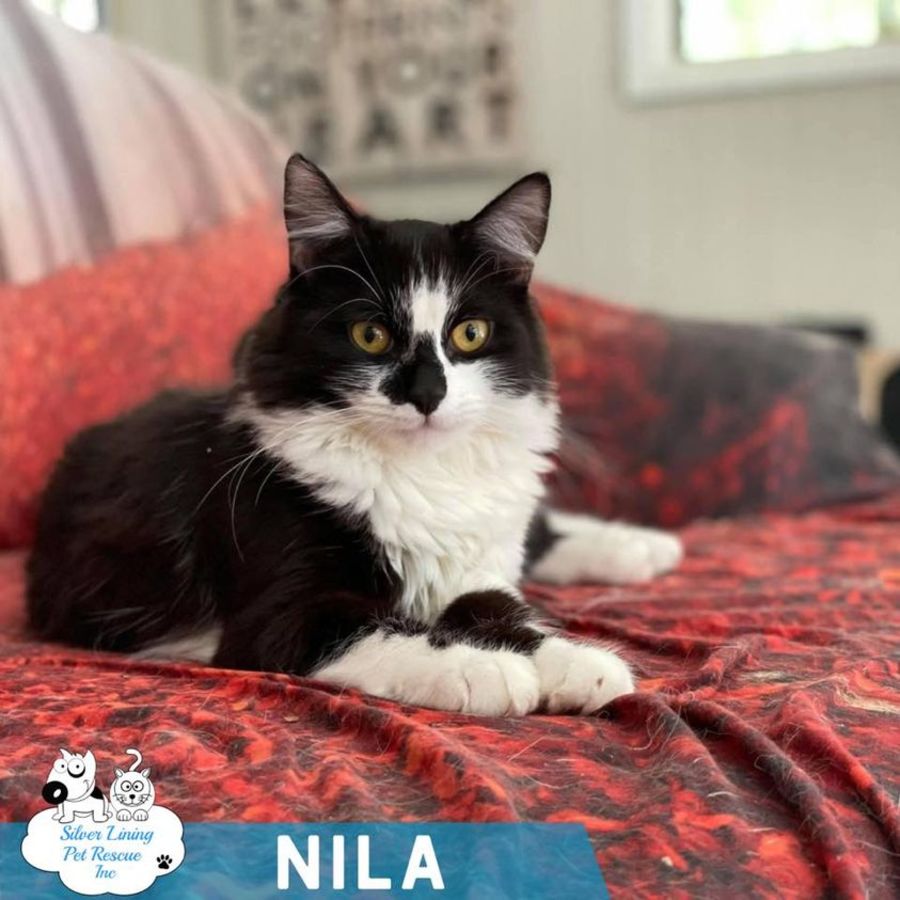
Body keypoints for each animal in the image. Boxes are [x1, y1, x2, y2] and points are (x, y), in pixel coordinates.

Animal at [26, 154, 682, 716]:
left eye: (469, 334)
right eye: (371, 336)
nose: (427, 394)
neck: (420, 479)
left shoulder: (475, 572)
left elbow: (502, 608)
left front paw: (577, 662)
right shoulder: (284, 612)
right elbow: (385, 630)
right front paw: (482, 669)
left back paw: (641, 546)